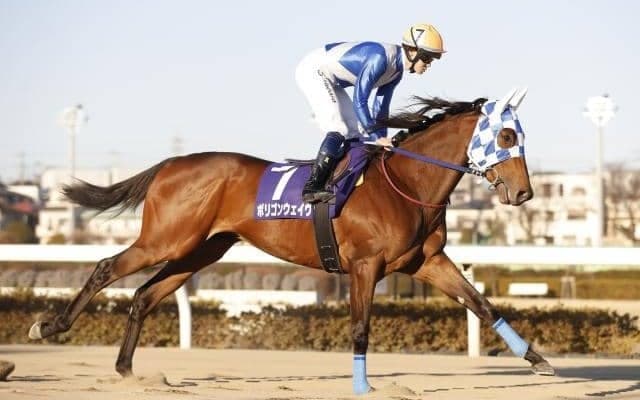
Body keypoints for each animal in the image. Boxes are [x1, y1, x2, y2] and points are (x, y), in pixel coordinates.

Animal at [29, 87, 554, 395]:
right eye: (506, 136)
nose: (525, 192)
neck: (404, 181)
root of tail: (171, 163)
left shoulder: (427, 261)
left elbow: (482, 305)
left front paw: (538, 360)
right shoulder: (365, 266)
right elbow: (360, 328)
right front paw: (363, 386)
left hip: (199, 248)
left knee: (142, 294)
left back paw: (126, 370)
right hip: (167, 239)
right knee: (106, 268)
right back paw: (49, 327)